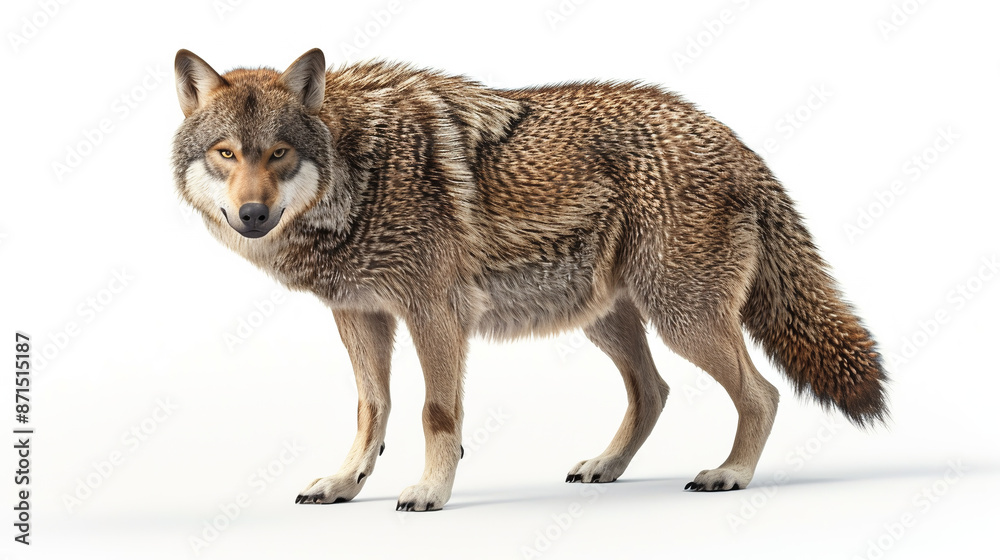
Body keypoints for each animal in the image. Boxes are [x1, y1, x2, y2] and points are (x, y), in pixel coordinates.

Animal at [172, 48, 887, 511]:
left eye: (279, 153)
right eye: (226, 153)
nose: (252, 214)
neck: (360, 171)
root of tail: (733, 138)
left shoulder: (436, 313)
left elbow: (436, 412)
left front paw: (431, 492)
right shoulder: (359, 316)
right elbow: (371, 410)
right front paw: (344, 484)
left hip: (682, 318)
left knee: (761, 394)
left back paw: (731, 474)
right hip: (609, 320)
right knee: (653, 391)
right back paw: (606, 467)